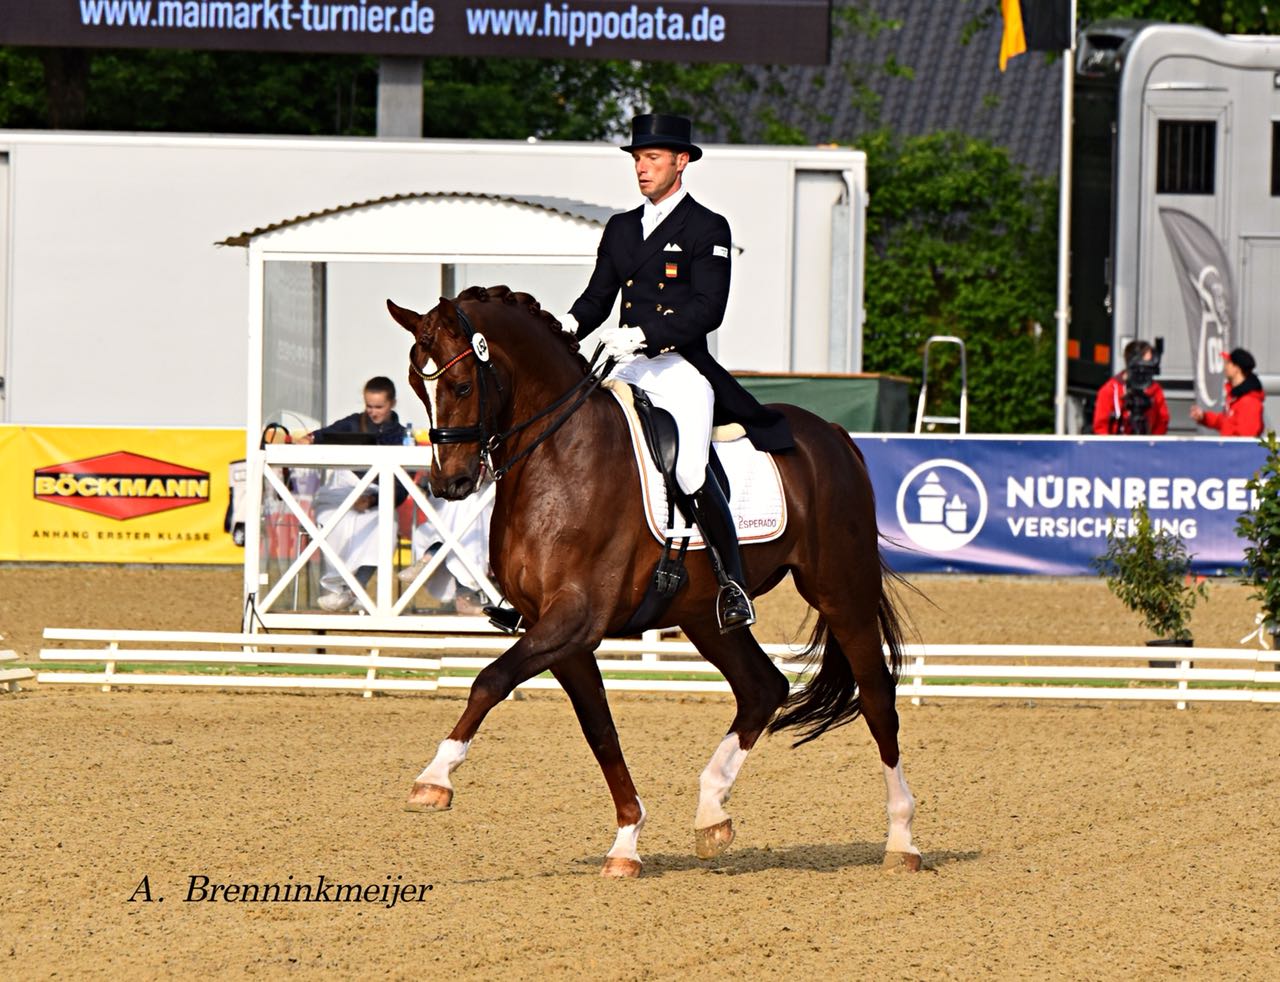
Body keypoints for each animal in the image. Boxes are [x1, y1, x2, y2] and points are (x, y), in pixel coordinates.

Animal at [386, 288, 921, 880]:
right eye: (417, 385)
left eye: (461, 385)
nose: (449, 483)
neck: (559, 456)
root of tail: (835, 436)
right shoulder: (558, 632)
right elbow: (599, 730)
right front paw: (626, 842)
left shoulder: (576, 618)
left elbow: (491, 679)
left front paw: (434, 779)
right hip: (705, 614)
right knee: (763, 688)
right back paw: (712, 812)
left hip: (841, 589)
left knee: (877, 697)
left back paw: (902, 839)